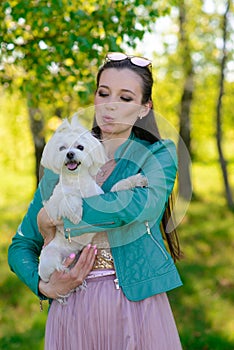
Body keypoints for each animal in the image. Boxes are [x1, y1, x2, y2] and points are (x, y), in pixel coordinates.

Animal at [39, 116, 147, 286]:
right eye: (62, 148)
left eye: (80, 147)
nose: (70, 154)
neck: (77, 182)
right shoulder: (52, 206)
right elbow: (68, 197)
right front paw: (75, 212)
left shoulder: (103, 197)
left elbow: (118, 187)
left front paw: (135, 180)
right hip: (50, 256)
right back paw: (65, 270)